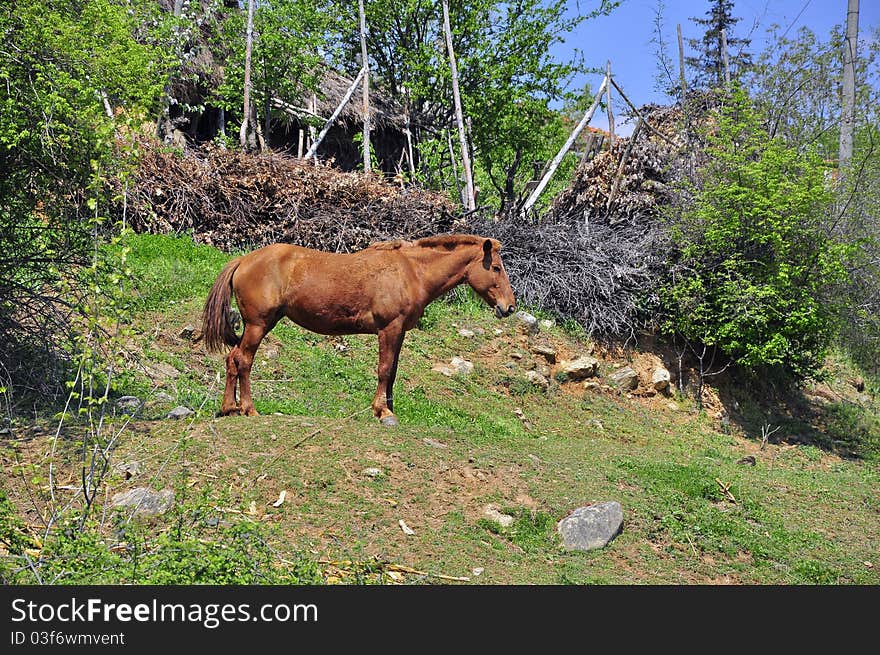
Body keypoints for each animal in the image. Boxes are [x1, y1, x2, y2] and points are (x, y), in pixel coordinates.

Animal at [201, 236, 516, 426]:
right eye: (496, 268)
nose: (510, 307)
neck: (410, 271)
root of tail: (243, 260)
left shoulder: (399, 332)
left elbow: (393, 371)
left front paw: (389, 408)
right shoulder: (389, 329)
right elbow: (384, 370)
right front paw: (382, 411)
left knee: (232, 358)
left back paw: (229, 407)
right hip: (259, 325)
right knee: (243, 360)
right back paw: (248, 408)